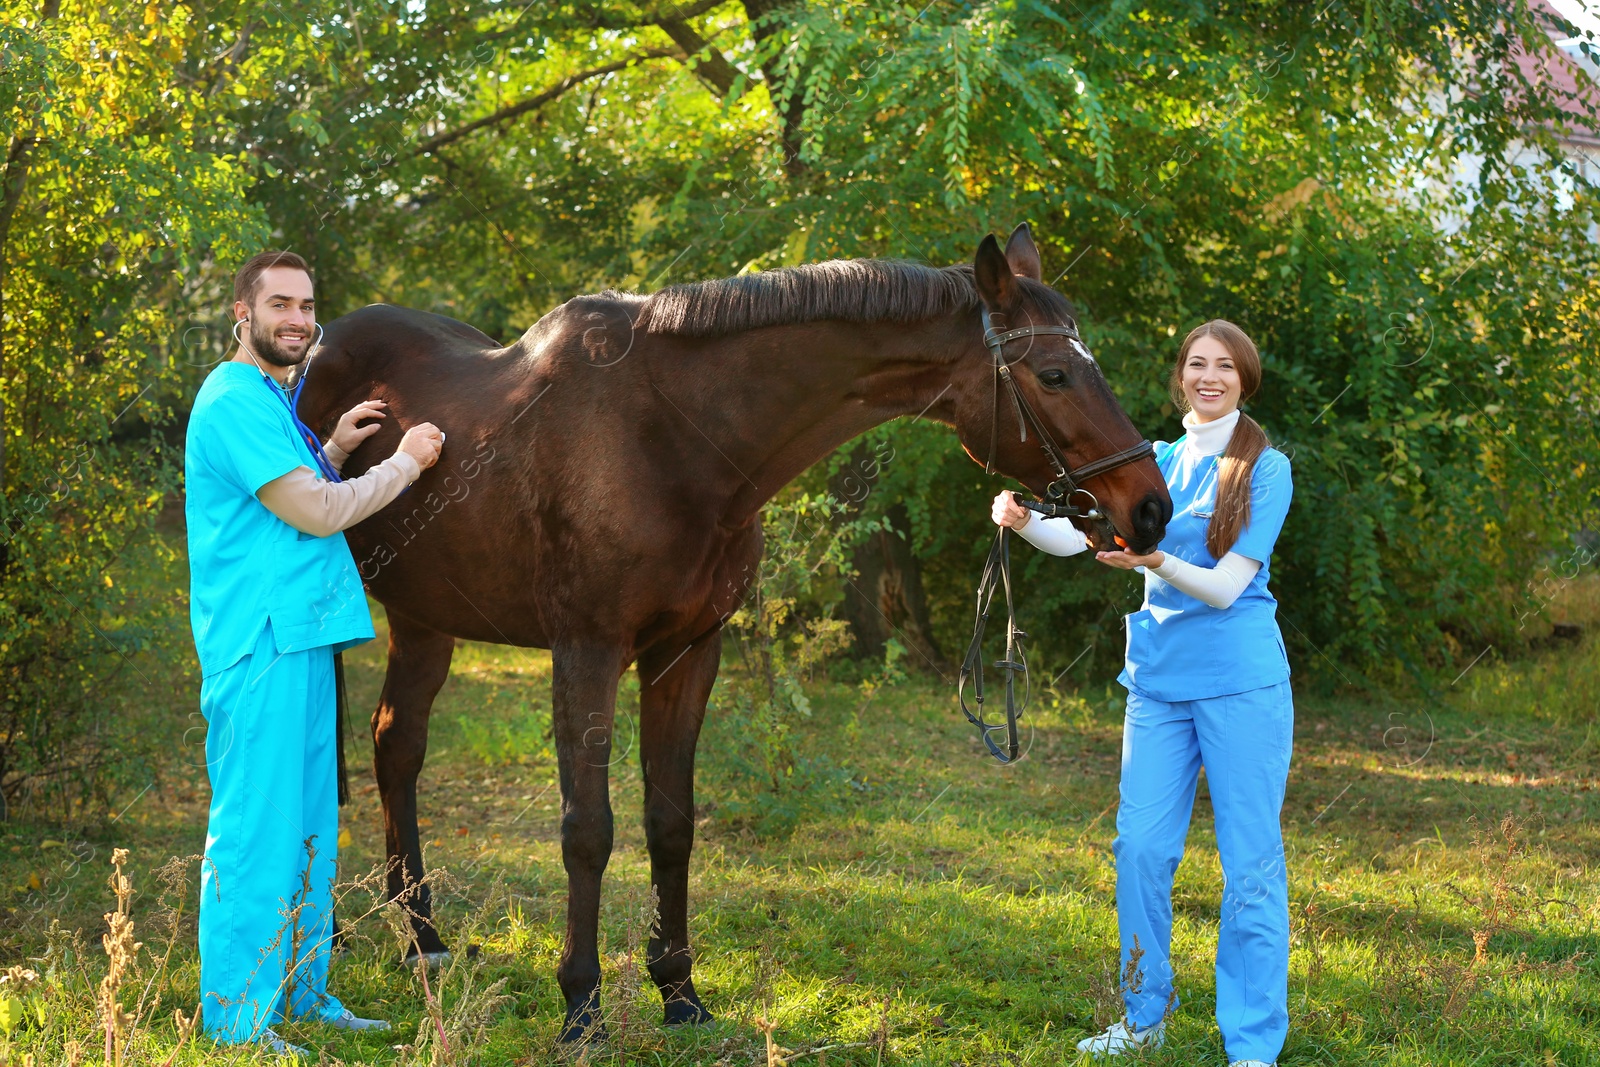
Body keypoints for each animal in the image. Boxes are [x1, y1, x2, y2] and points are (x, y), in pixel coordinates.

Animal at [300, 220, 1171, 1036]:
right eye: (1053, 373)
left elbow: (671, 823)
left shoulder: (688, 652)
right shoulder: (585, 650)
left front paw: (679, 991)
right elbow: (588, 828)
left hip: (423, 620)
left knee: (394, 747)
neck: (672, 436)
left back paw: (421, 936)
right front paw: (581, 1003)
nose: (1149, 506)